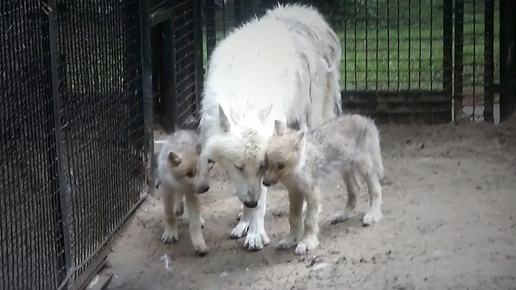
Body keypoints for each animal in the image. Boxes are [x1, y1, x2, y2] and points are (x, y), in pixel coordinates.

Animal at [194, 3, 342, 250]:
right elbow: (243, 191)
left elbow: (262, 196)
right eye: (238, 166)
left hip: (307, 118)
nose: (251, 203)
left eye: (263, 165)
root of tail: (299, 15)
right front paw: (244, 221)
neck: (244, 98)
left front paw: (255, 234)